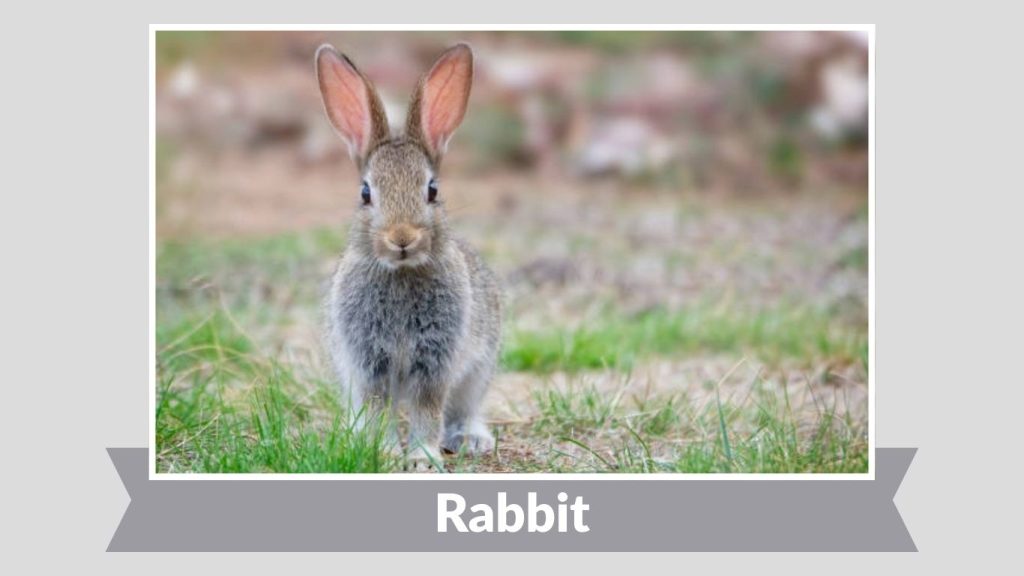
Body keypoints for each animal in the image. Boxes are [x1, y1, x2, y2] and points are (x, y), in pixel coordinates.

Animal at [315, 42, 502, 470]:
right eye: (366, 193)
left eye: (432, 190)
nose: (402, 238)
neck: (400, 273)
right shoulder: (369, 363)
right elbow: (377, 408)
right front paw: (381, 452)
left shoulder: (435, 360)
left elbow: (428, 408)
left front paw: (422, 458)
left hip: (479, 369)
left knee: (464, 407)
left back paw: (471, 438)